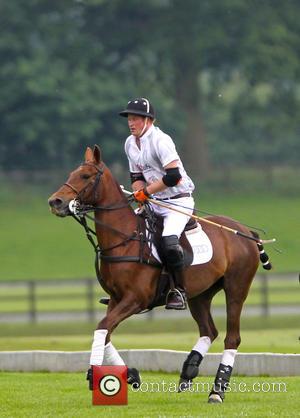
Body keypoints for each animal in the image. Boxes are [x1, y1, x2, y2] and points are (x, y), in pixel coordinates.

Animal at [48, 145, 270, 404]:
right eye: (72, 173)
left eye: (85, 176)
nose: (55, 201)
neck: (125, 239)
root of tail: (246, 232)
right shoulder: (115, 298)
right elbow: (105, 332)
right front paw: (131, 375)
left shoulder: (135, 299)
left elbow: (102, 328)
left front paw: (94, 374)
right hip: (200, 294)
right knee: (209, 330)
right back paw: (188, 371)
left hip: (236, 288)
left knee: (231, 337)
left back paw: (217, 390)